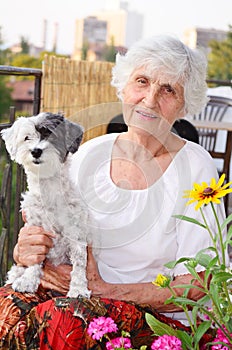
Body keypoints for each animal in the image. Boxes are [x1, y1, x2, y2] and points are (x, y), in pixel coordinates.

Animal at [1, 112, 91, 298]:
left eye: (51, 135)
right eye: (27, 137)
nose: (36, 151)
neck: (49, 190)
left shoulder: (76, 231)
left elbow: (79, 262)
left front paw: (78, 288)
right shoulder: (36, 230)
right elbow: (34, 259)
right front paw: (28, 280)